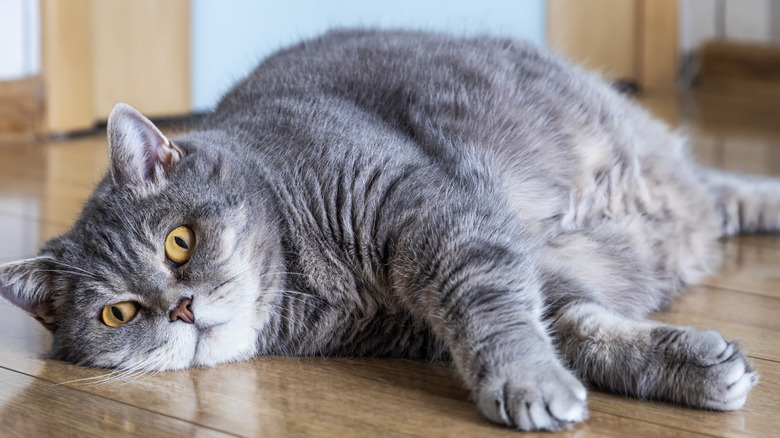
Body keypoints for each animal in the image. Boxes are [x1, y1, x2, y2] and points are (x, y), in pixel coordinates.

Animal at [0, 30, 772, 432]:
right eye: (119, 314)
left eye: (178, 243)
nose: (182, 309)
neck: (312, 280)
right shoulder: (458, 306)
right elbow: (580, 329)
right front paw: (693, 368)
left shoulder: (435, 215)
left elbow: (494, 314)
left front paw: (525, 382)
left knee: (721, 188)